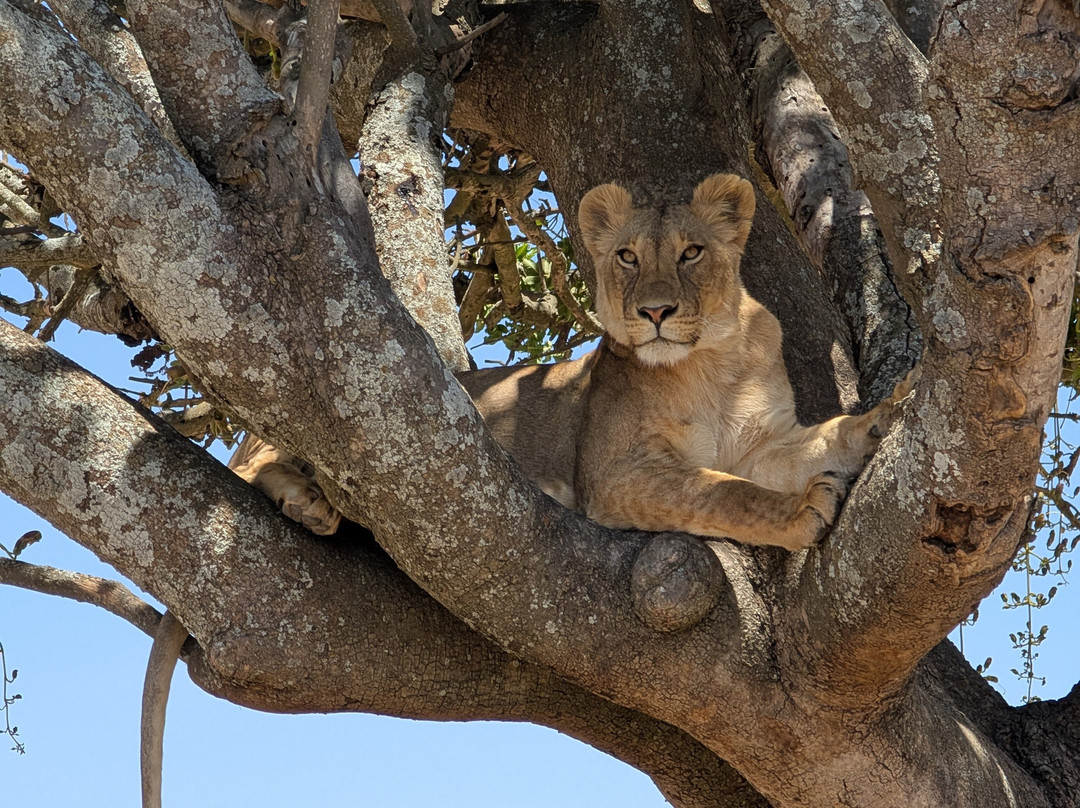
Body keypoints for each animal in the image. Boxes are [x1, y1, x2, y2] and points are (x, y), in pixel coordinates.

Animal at [228, 173, 911, 550]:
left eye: (691, 252)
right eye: (628, 257)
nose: (655, 312)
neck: (709, 366)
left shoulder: (763, 443)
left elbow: (824, 440)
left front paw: (888, 415)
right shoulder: (616, 475)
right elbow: (723, 495)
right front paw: (801, 511)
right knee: (250, 463)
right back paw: (308, 499)